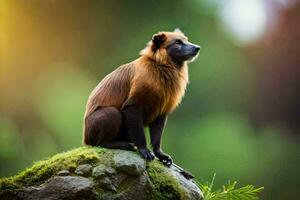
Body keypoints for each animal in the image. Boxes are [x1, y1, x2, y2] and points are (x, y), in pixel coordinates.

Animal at [83, 28, 200, 166]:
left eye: (186, 40)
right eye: (177, 42)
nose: (197, 48)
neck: (160, 68)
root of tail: (85, 136)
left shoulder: (162, 110)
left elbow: (157, 136)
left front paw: (161, 155)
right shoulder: (134, 102)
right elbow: (138, 130)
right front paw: (145, 151)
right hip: (105, 117)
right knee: (100, 140)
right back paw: (123, 144)